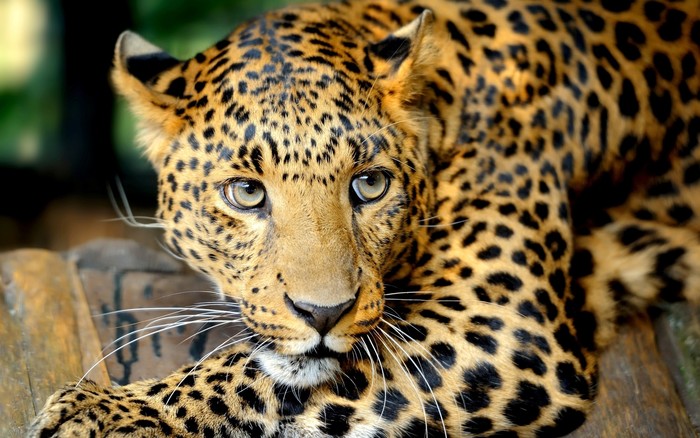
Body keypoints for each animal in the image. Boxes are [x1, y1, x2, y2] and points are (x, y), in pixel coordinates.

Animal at [29, 0, 700, 436]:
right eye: (246, 193)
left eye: (369, 184)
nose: (323, 313)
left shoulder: (505, 324)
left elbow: (259, 372)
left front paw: (115, 411)